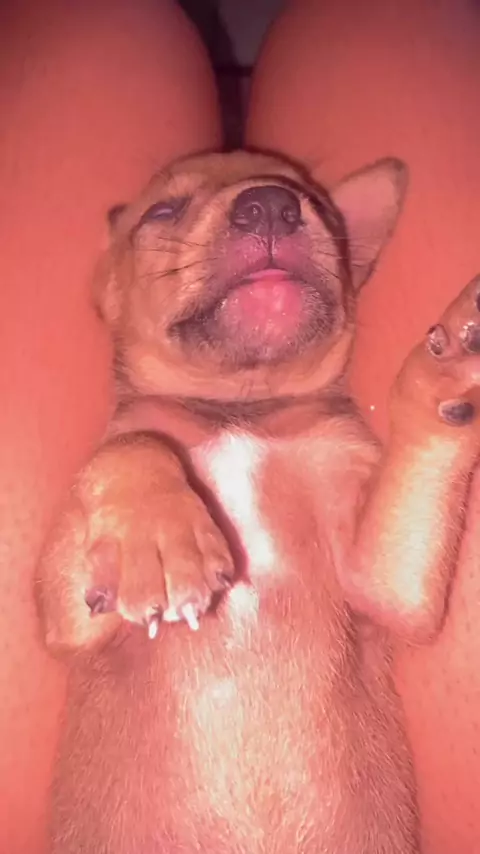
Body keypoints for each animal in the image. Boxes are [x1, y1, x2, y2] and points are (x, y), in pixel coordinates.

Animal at [37, 150, 480, 853]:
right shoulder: (67, 619)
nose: (270, 204)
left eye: (317, 206)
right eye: (163, 210)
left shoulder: (387, 584)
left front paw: (448, 368)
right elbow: (129, 446)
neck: (238, 413)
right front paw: (156, 537)